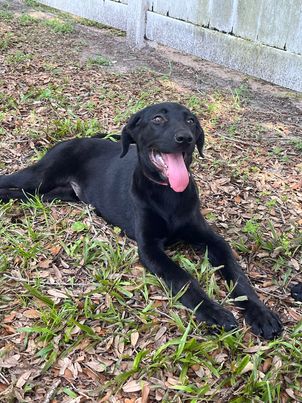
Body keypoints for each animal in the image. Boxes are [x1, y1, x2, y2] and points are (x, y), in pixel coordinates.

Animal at [0, 102, 284, 340]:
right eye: (158, 118)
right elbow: (183, 278)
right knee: (12, 181)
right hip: (39, 176)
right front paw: (213, 311)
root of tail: (75, 140)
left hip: (56, 193)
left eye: (191, 120)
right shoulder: (149, 248)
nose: (185, 138)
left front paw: (261, 314)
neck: (168, 195)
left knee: (29, 195)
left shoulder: (212, 239)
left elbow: (238, 276)